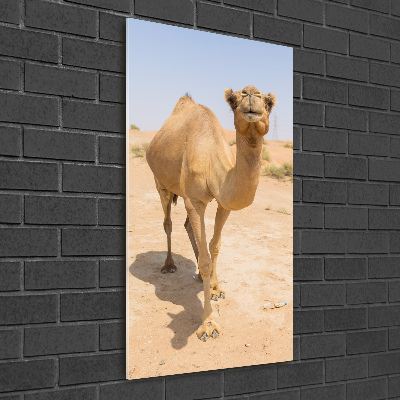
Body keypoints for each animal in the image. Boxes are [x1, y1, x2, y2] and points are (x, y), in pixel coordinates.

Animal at [145, 84, 276, 340]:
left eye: (269, 103)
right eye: (233, 100)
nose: (251, 94)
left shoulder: (224, 202)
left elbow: (214, 246)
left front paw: (215, 288)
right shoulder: (194, 200)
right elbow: (206, 259)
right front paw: (208, 324)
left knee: (187, 225)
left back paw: (196, 274)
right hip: (160, 183)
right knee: (168, 223)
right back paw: (169, 265)